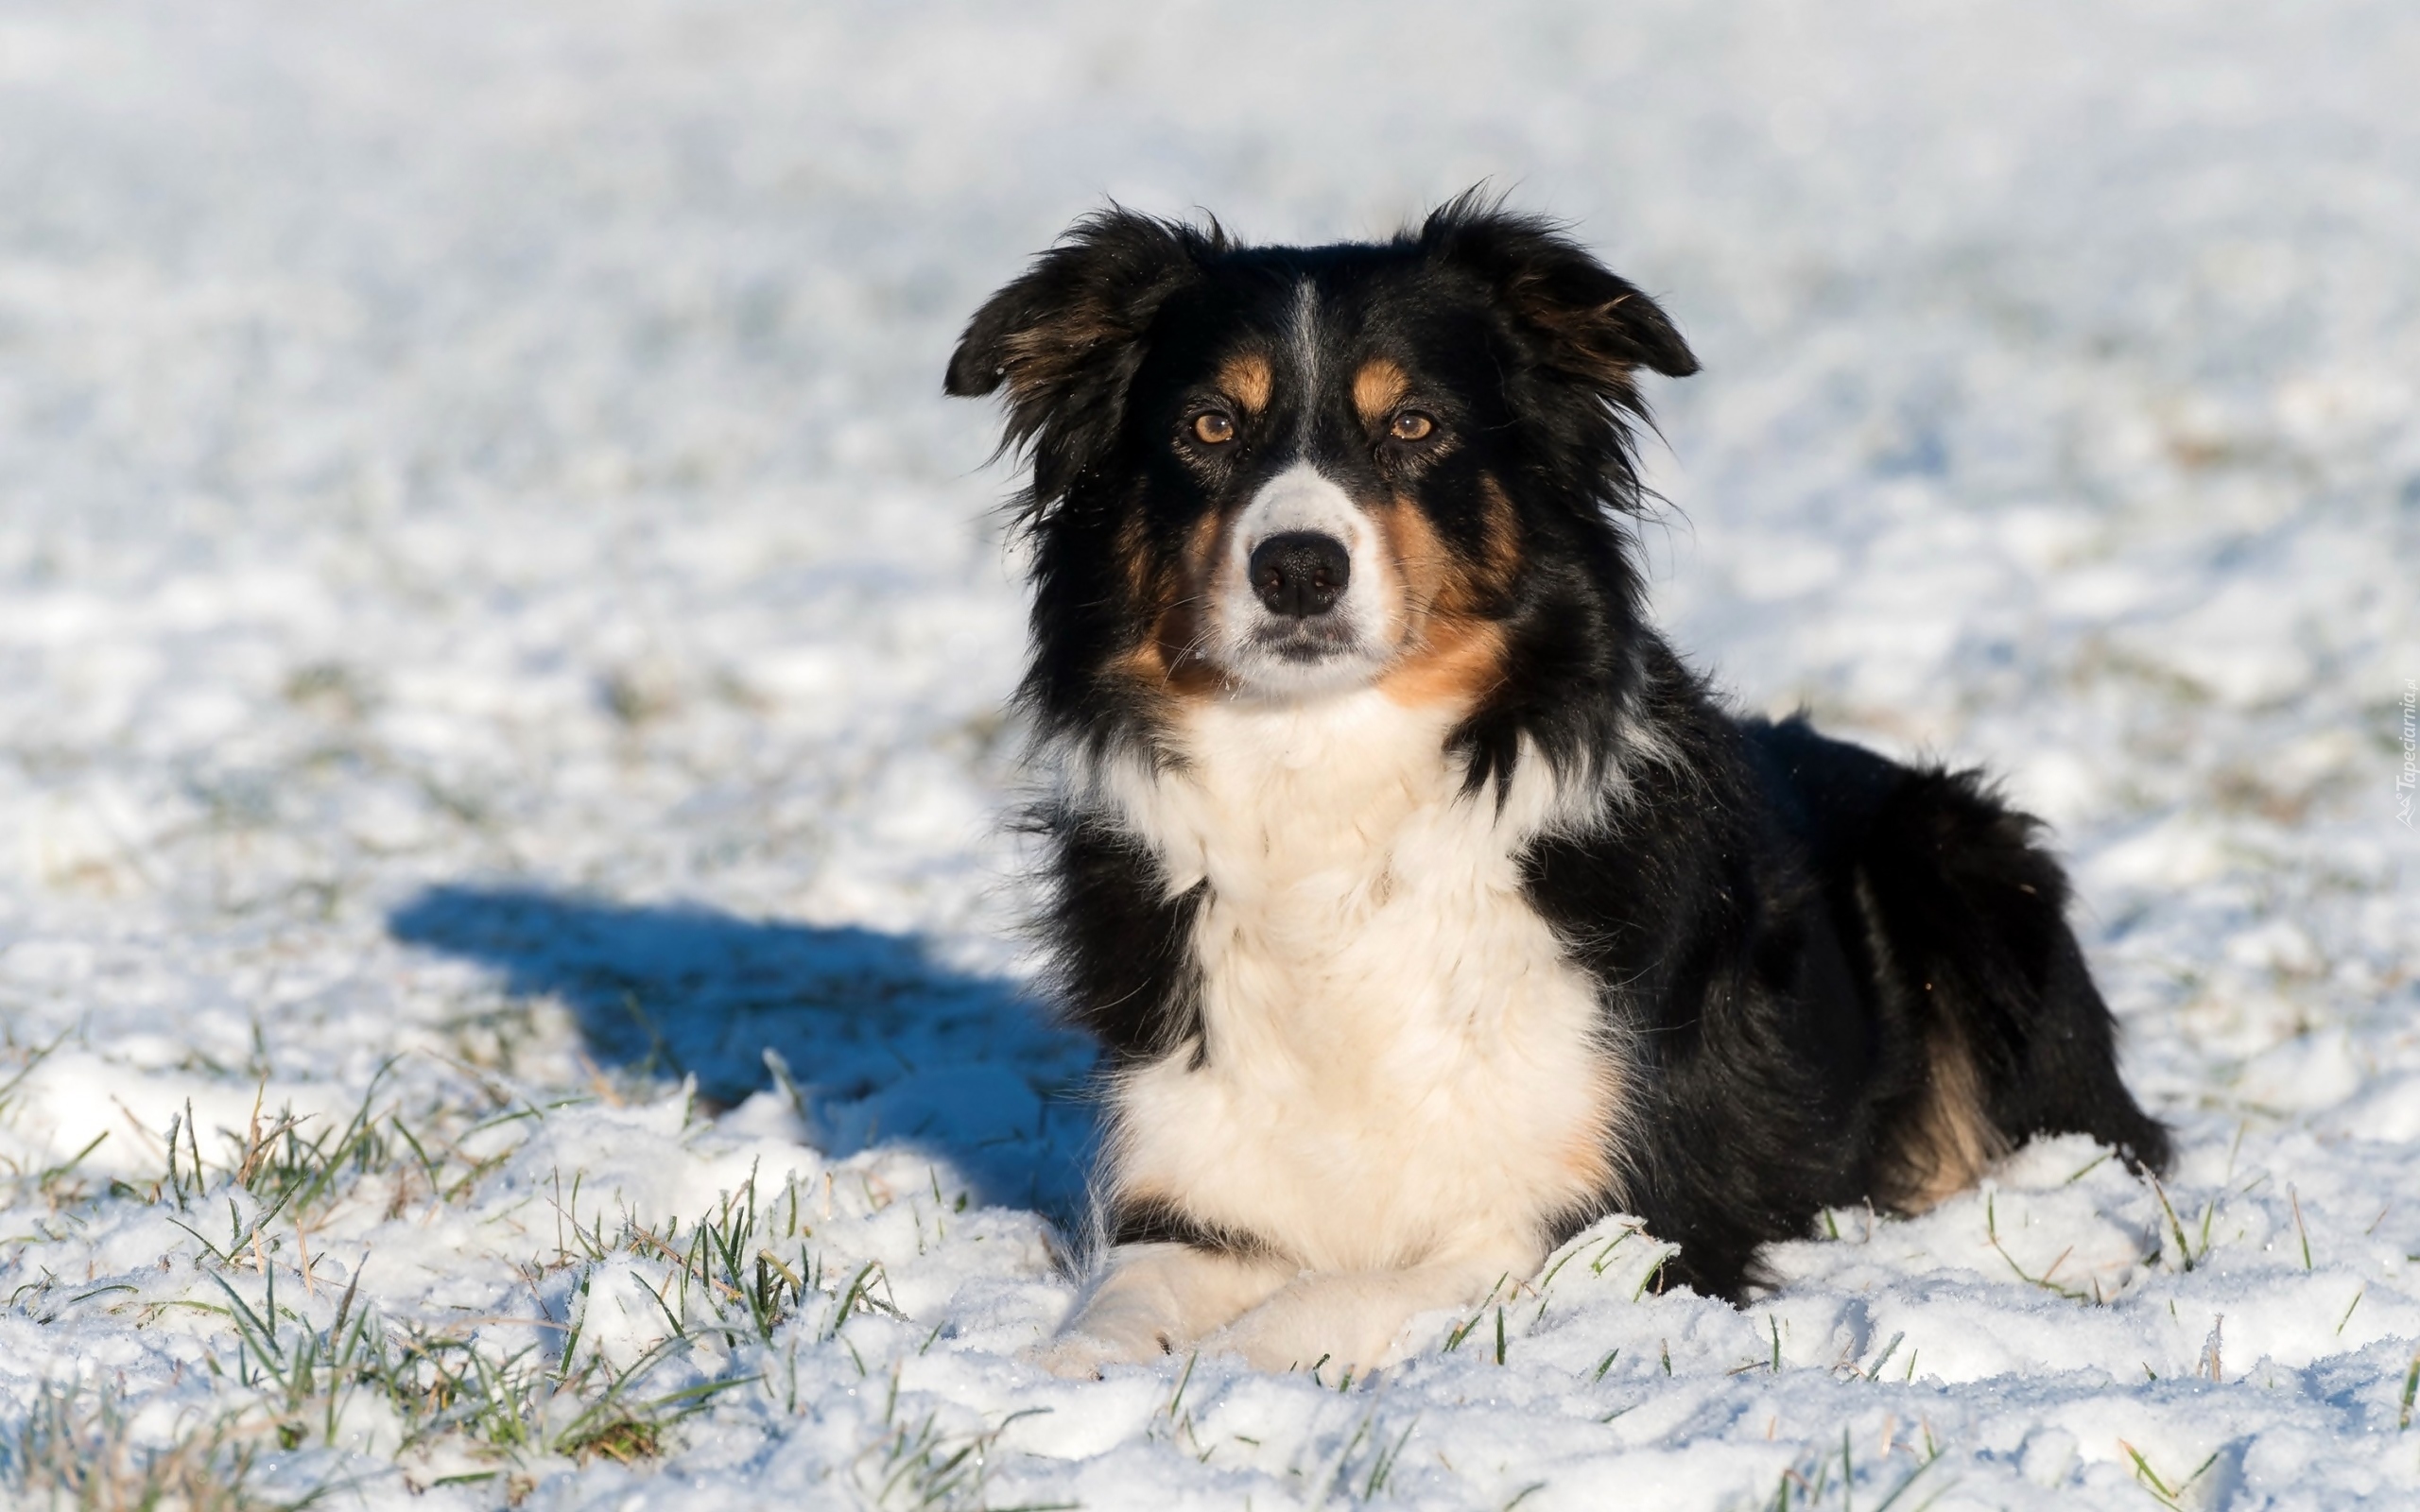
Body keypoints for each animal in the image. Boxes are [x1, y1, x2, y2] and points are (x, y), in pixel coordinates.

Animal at [943, 195, 2178, 1374]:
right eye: (1208, 425)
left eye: (1415, 424)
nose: (1296, 569)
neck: (1329, 794)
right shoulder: (1192, 1187)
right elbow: (1123, 1300)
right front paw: (1069, 1382)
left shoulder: (1620, 1216)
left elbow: (1350, 1292)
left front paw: (1234, 1367)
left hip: (1960, 864)